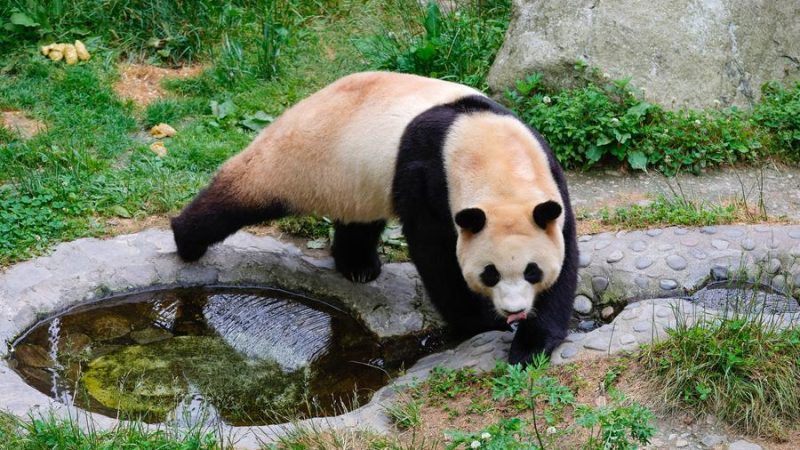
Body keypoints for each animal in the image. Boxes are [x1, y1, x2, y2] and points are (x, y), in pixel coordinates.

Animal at [171, 72, 578, 364]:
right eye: (490, 273)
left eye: (531, 271)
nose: (514, 311)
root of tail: (307, 101)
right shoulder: (429, 172)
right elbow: (435, 251)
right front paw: (481, 321)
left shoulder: (548, 178)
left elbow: (565, 252)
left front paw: (532, 343)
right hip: (301, 157)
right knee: (242, 194)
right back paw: (186, 239)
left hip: (357, 175)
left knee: (359, 220)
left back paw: (358, 266)